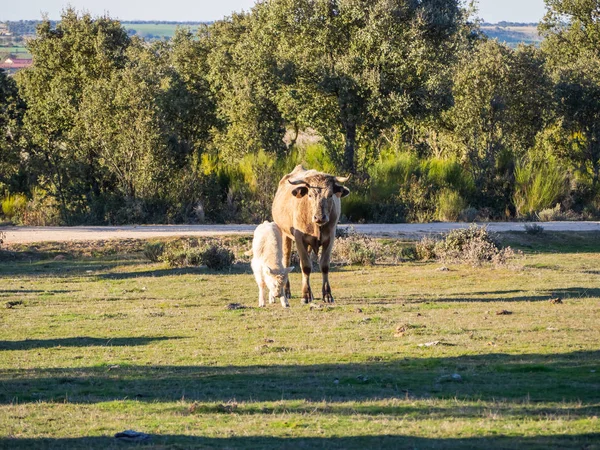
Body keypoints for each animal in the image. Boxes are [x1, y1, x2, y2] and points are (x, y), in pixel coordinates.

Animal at [270, 163, 350, 304]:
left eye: (330, 195)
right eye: (310, 195)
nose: (319, 217)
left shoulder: (330, 238)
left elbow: (324, 265)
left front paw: (327, 294)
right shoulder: (299, 238)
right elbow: (306, 266)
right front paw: (305, 295)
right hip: (285, 235)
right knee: (286, 261)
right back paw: (287, 291)